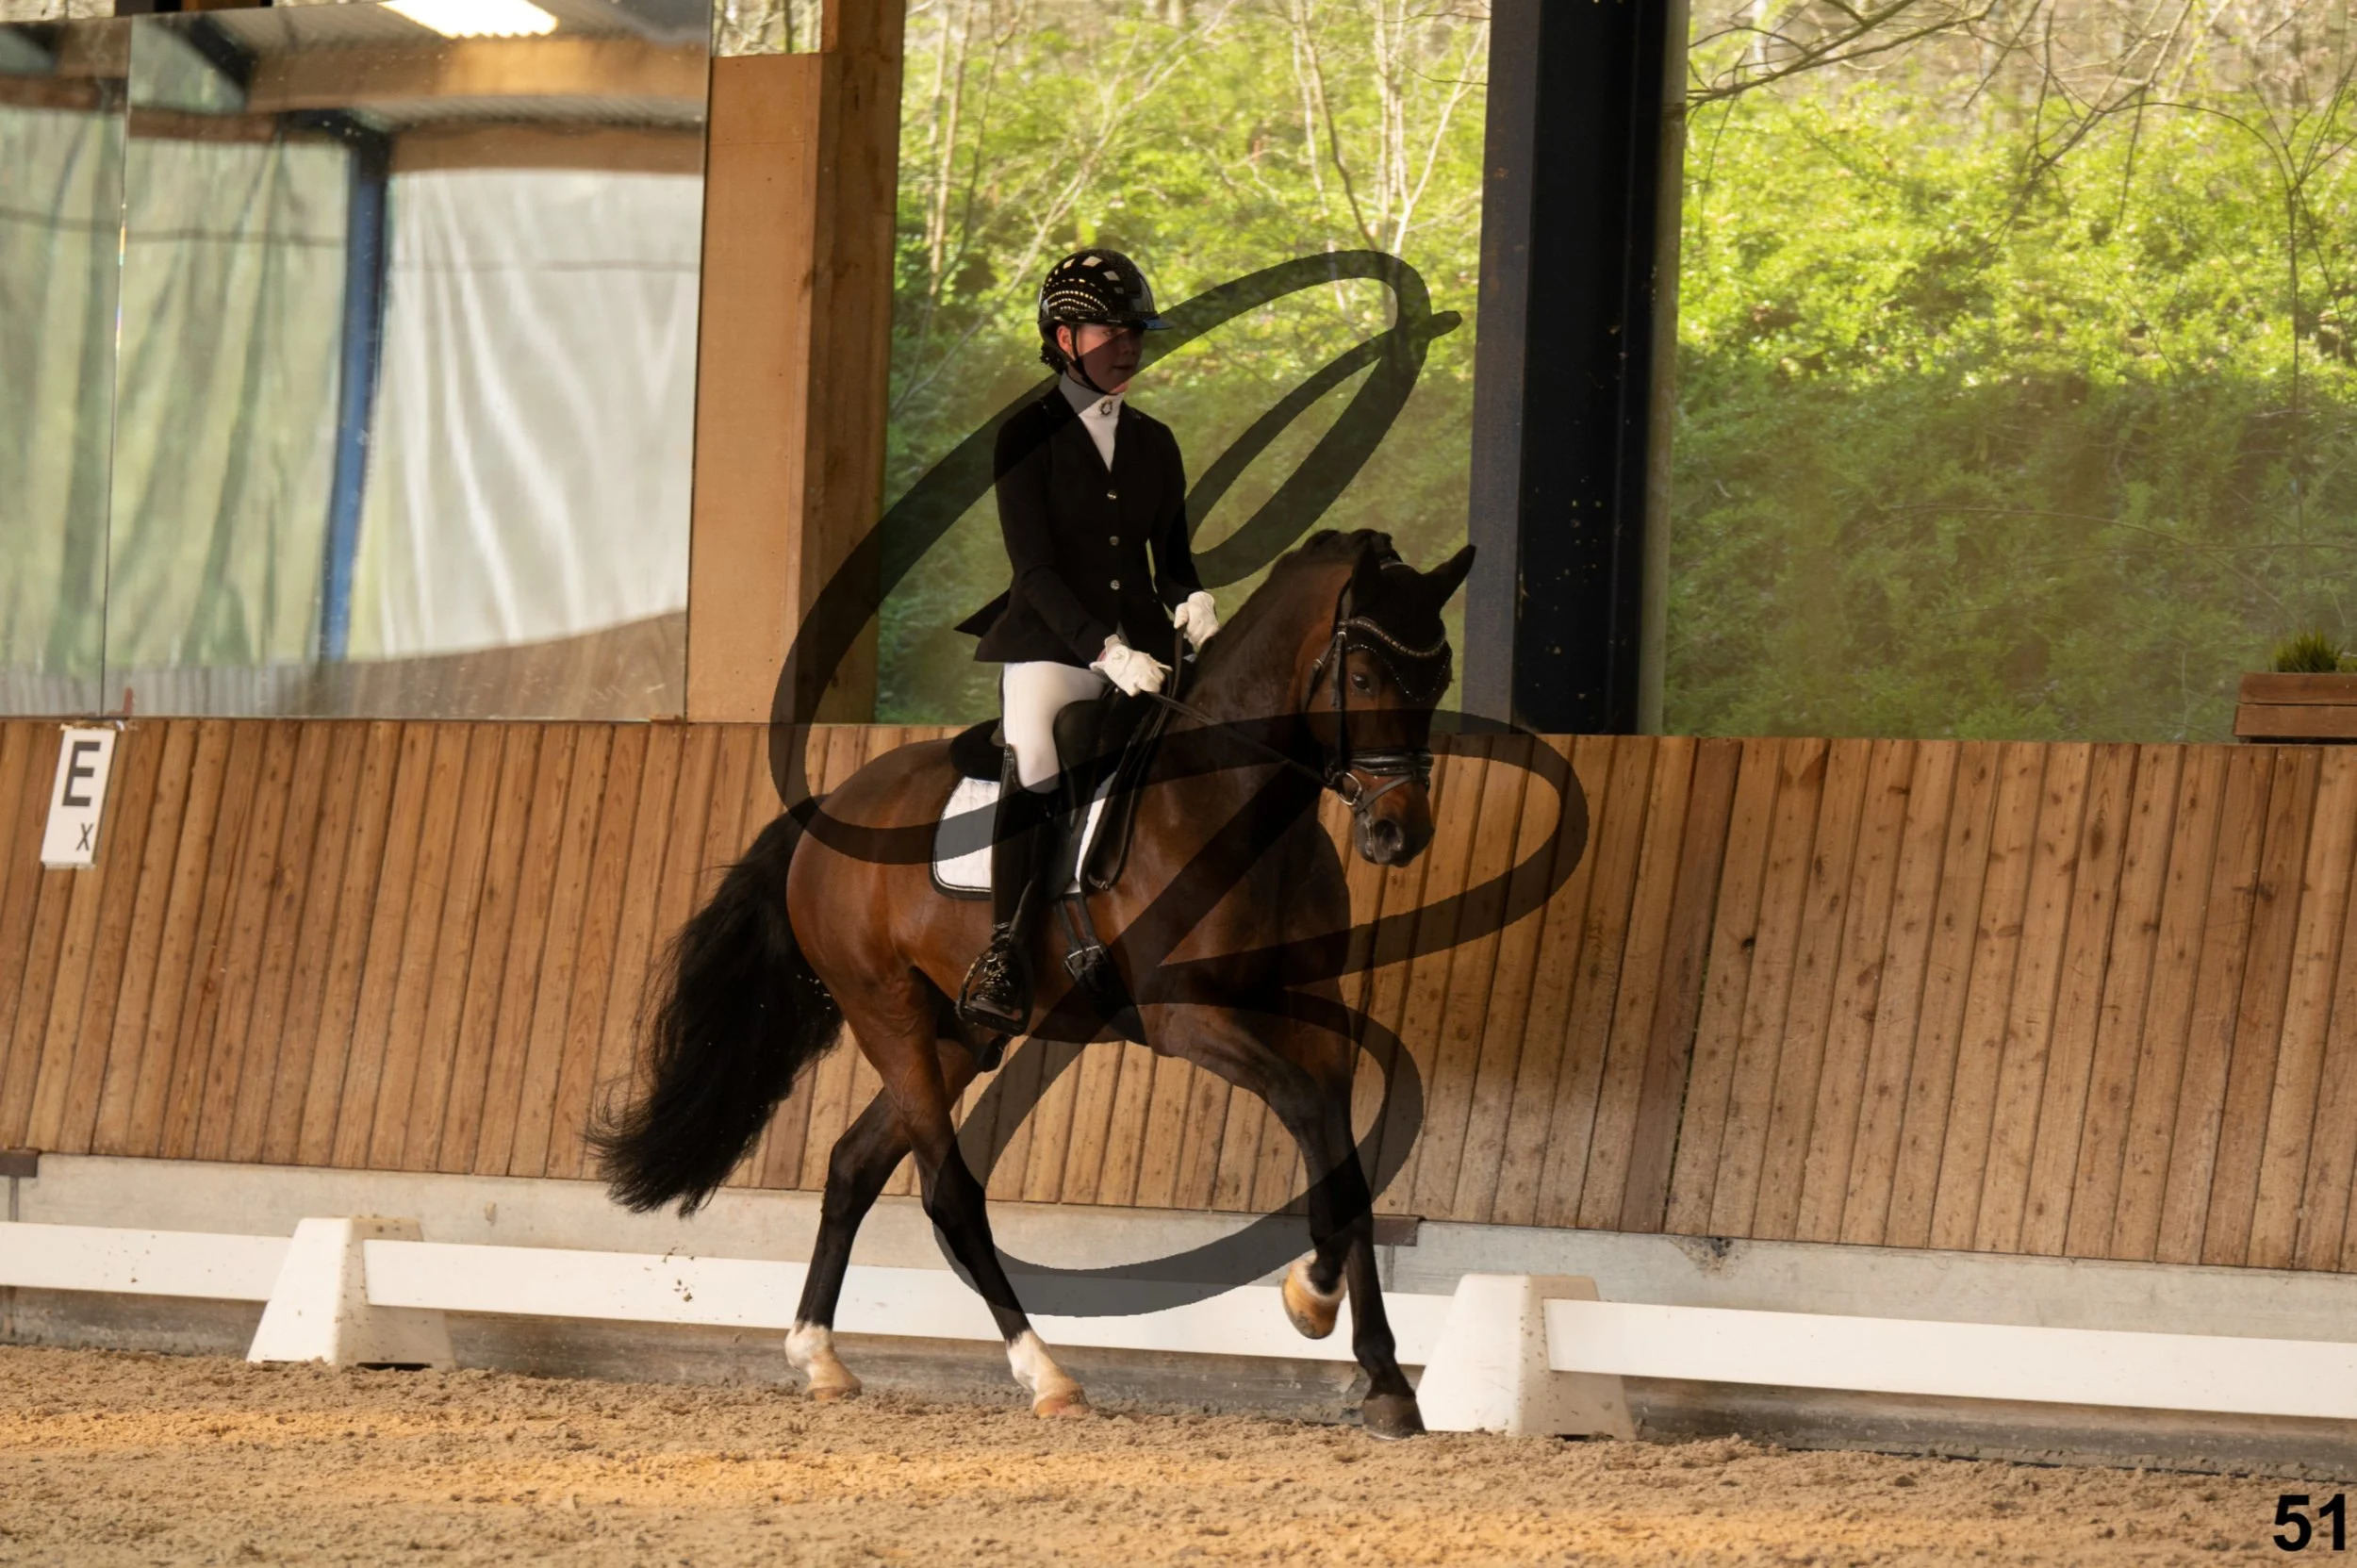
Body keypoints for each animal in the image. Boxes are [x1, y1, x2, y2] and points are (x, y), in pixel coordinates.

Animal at [591, 527, 1475, 1440]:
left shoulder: (1309, 1006)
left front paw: (1383, 1375)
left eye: (1438, 678)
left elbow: (1343, 1152)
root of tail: (827, 809)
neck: (1228, 799)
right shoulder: (1185, 1016)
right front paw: (1312, 1293)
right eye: (1364, 679)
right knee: (948, 1192)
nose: (1398, 833)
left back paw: (820, 1356)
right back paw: (1046, 1373)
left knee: (853, 1163)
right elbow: (1303, 1108)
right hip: (887, 1012)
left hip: (961, 1031)